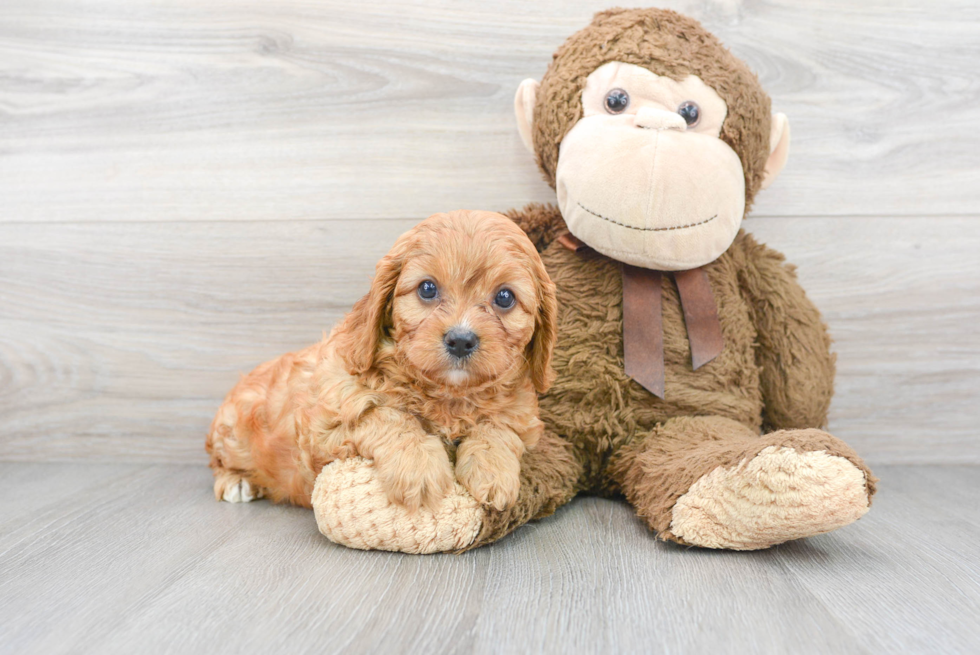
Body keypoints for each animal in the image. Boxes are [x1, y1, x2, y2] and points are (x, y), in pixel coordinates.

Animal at [205, 210, 560, 512]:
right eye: (427, 288)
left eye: (505, 297)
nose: (460, 340)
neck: (448, 396)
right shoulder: (324, 429)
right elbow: (387, 417)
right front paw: (418, 468)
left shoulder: (523, 419)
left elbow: (498, 428)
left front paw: (492, 471)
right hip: (231, 432)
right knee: (218, 461)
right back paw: (237, 482)